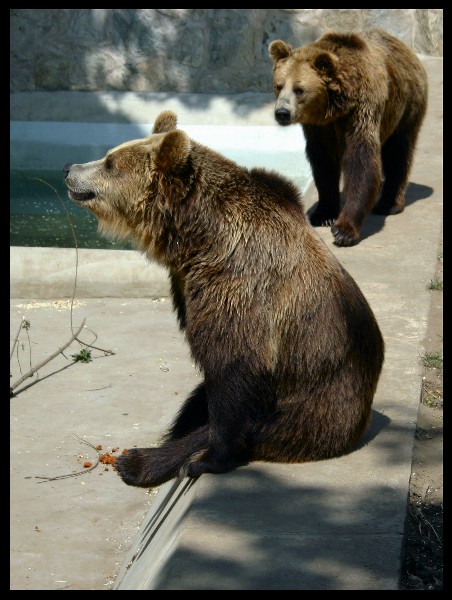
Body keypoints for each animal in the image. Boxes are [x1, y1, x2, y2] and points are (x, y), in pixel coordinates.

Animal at [62, 111, 382, 488]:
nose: (69, 167)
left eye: (111, 162)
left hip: (310, 411)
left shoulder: (238, 287)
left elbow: (233, 370)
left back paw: (139, 461)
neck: (198, 237)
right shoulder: (186, 284)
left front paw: (206, 458)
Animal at [270, 28, 430, 246]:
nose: (282, 113)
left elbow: (361, 162)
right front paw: (323, 214)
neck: (335, 107)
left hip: (407, 102)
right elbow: (323, 163)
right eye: (279, 85)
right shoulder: (320, 128)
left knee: (398, 151)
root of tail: (406, 48)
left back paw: (389, 203)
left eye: (299, 89)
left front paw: (344, 230)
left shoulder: (362, 110)